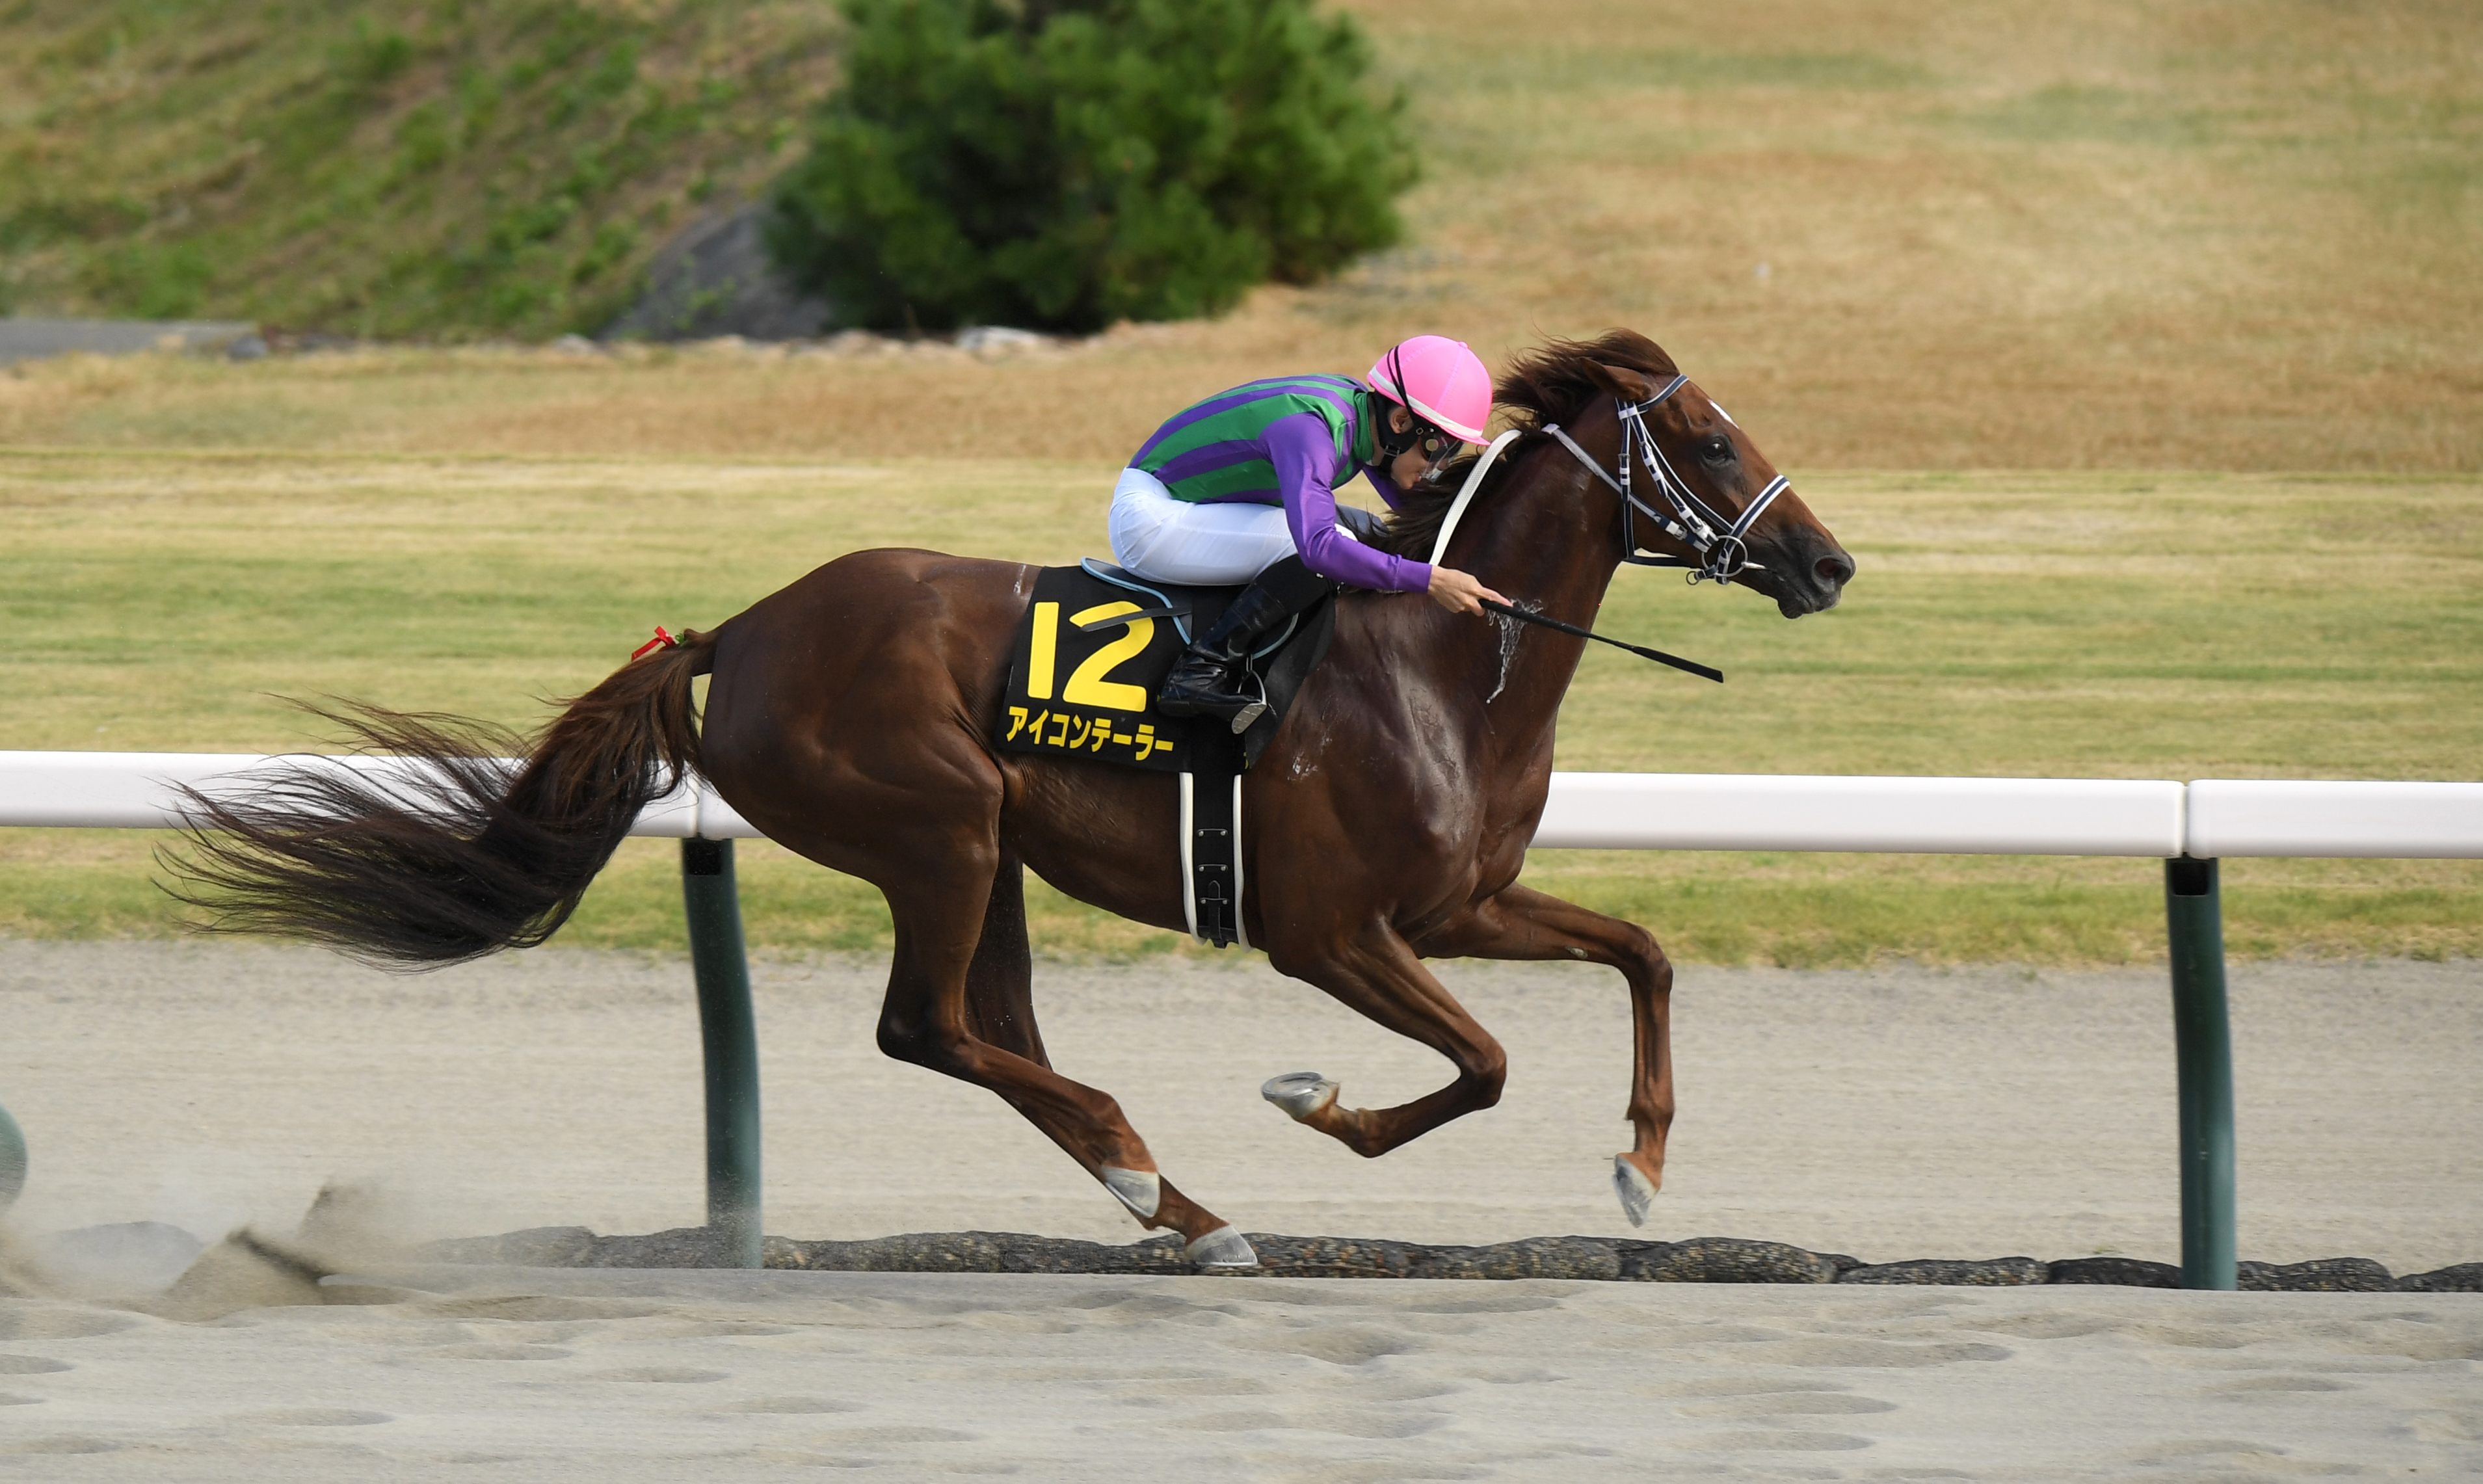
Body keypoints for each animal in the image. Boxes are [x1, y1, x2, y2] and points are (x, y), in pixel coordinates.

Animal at [179, 332, 1847, 1270]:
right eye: (1710, 441)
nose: (1827, 563)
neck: (1450, 664)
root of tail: (742, 629)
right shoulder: (1328, 930)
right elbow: (1485, 1063)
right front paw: (1315, 1101)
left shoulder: (1461, 901)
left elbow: (1641, 954)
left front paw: (1639, 1168)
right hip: (942, 826)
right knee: (926, 1027)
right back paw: (1139, 1164)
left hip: (992, 857)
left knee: (992, 1030)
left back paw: (1172, 1204)